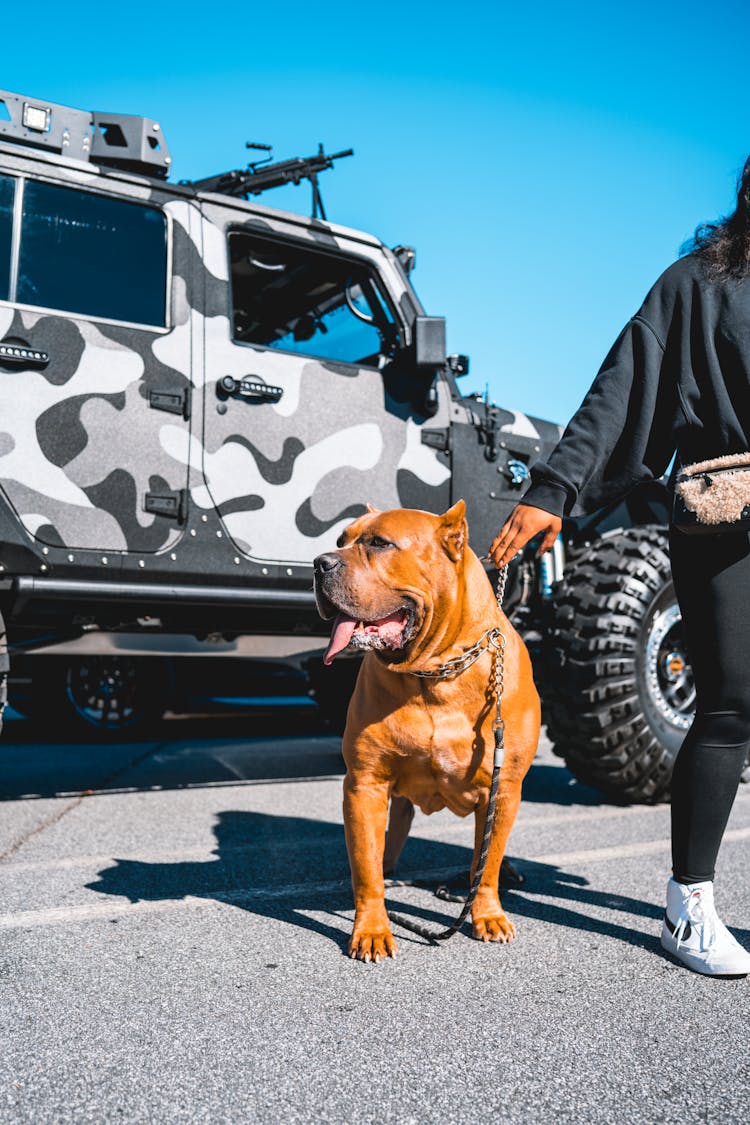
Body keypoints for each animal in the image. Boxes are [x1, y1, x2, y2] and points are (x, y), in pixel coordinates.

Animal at [310, 501, 539, 958]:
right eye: (341, 540)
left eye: (380, 544)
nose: (320, 562)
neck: (434, 675)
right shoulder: (364, 783)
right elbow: (366, 866)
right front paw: (371, 928)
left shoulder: (504, 789)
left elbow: (486, 866)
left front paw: (487, 914)